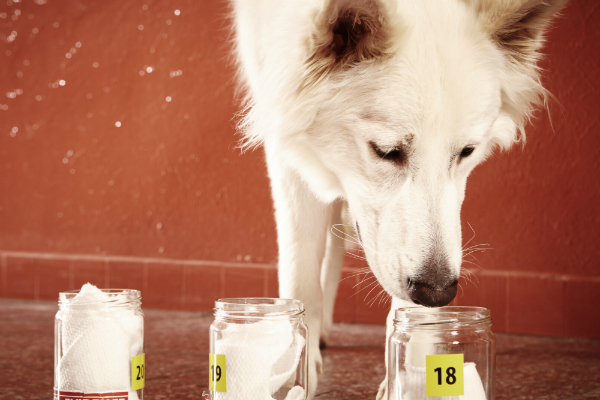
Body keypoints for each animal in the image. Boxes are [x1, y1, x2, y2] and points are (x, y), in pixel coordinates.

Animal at [229, 0, 564, 396]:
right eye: (386, 151)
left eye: (467, 152)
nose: (438, 293)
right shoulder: (285, 137)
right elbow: (301, 265)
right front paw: (295, 368)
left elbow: (411, 316)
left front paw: (412, 376)